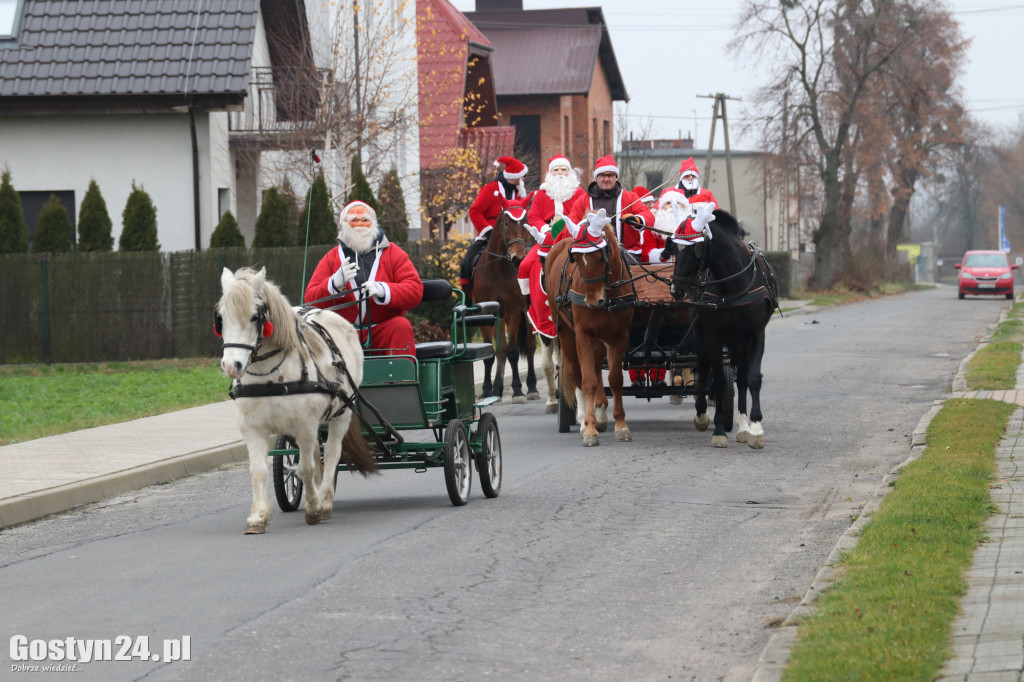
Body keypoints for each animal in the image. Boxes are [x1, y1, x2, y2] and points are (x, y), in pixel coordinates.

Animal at [216, 266, 376, 532]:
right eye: (220, 318)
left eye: (255, 317)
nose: (231, 366)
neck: (271, 378)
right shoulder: (253, 428)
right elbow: (259, 470)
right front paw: (257, 516)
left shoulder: (305, 426)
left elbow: (306, 469)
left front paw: (313, 508)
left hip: (341, 413)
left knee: (331, 453)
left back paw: (325, 501)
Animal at [471, 199, 540, 401]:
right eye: (506, 223)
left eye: (525, 221)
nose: (518, 259)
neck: (498, 269)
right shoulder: (488, 314)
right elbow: (491, 353)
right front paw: (488, 390)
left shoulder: (513, 312)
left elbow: (513, 352)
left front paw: (517, 389)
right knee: (500, 350)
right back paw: (497, 388)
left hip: (527, 313)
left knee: (530, 346)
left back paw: (531, 387)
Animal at [544, 212, 630, 446]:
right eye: (576, 258)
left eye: (601, 256)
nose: (592, 301)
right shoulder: (583, 334)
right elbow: (588, 380)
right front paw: (590, 429)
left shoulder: (619, 336)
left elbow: (615, 380)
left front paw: (621, 425)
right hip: (566, 333)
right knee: (576, 374)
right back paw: (584, 419)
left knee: (598, 368)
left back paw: (600, 413)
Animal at [667, 209, 778, 448]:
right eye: (672, 248)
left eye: (694, 248)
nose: (675, 289)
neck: (734, 285)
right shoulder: (713, 336)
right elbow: (718, 380)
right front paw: (718, 429)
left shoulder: (756, 335)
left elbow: (753, 378)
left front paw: (755, 428)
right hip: (701, 336)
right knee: (703, 368)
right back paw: (701, 413)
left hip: (738, 342)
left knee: (741, 378)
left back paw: (743, 425)